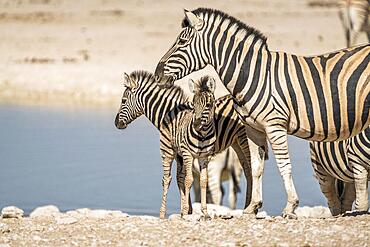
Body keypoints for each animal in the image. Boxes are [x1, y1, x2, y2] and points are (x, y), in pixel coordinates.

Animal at [114, 71, 268, 218]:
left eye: (123, 100)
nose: (117, 123)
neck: (170, 112)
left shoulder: (180, 152)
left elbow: (181, 179)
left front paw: (186, 210)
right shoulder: (181, 153)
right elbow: (181, 178)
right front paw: (188, 210)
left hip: (242, 140)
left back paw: (250, 207)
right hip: (235, 144)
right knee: (246, 171)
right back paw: (249, 207)